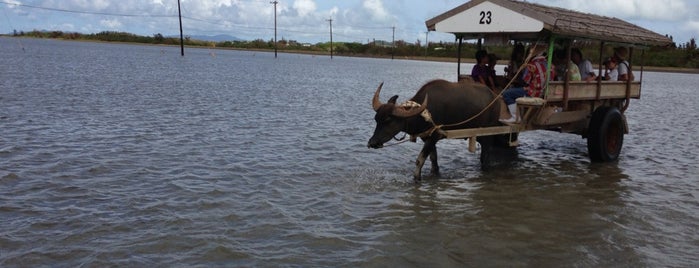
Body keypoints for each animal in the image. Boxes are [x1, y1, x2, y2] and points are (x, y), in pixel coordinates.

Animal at [370, 78, 512, 181]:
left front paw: (417, 178)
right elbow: (433, 159)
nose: (372, 143)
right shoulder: (427, 137)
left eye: (388, 120)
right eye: (376, 119)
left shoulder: (435, 136)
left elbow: (420, 160)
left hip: (488, 134)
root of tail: (497, 99)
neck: (424, 114)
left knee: (485, 157)